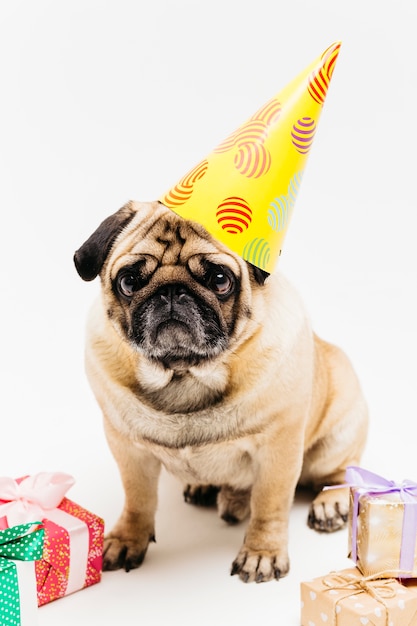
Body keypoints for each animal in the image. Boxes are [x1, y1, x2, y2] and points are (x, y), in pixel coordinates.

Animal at [73, 200, 366, 580]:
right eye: (129, 281)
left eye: (220, 280)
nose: (171, 291)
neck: (184, 372)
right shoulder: (128, 449)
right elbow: (137, 499)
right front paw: (127, 539)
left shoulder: (279, 448)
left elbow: (269, 504)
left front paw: (262, 552)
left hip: (336, 438)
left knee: (341, 471)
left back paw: (330, 503)